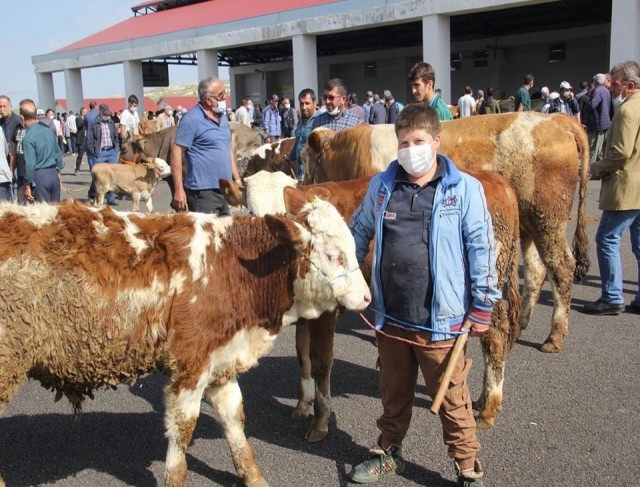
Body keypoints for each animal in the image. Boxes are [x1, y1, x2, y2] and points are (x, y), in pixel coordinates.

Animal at [0, 196, 370, 486]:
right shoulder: (190, 365)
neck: (231, 267)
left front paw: (253, 476)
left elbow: (234, 421)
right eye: (335, 255)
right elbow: (182, 433)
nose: (367, 298)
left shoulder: (221, 361)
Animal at [222, 169, 524, 438]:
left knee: (494, 339)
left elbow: (320, 361)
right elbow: (302, 355)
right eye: (252, 211)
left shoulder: (325, 314)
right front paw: (302, 405)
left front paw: (320, 422)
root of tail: (495, 178)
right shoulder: (306, 315)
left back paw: (489, 407)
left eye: (285, 214)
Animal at [302, 112, 588, 356]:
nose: (304, 183)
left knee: (561, 266)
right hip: (530, 224)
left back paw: (554, 337)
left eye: (305, 159)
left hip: (548, 219)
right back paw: (523, 325)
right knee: (536, 269)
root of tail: (558, 120)